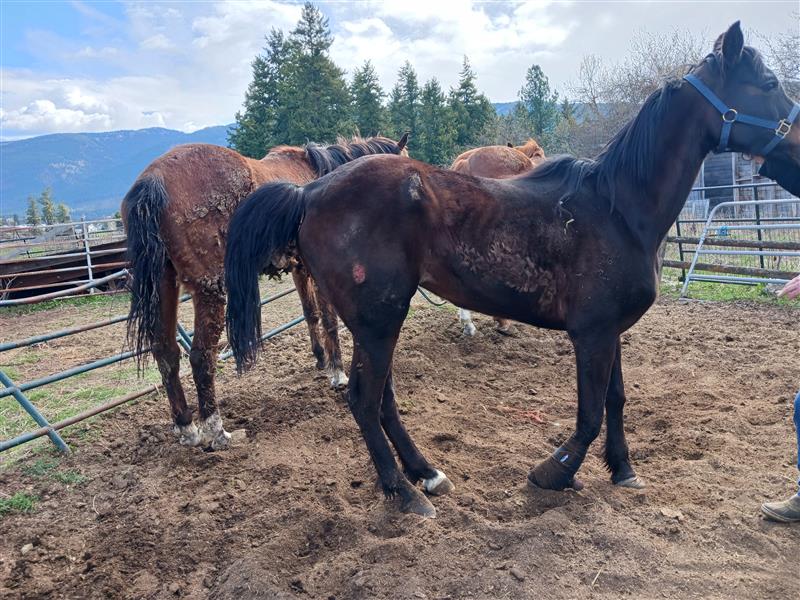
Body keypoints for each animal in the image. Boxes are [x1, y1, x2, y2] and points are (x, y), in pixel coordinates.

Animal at [122, 134, 407, 450]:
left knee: (166, 353)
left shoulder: (299, 268)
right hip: (210, 289)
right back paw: (217, 432)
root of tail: (153, 181)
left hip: (165, 284)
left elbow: (311, 314)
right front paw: (337, 372)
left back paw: (187, 427)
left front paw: (320, 359)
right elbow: (329, 320)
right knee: (200, 357)